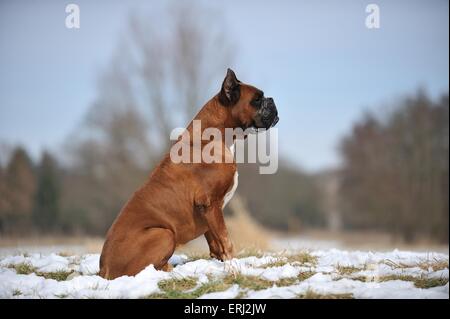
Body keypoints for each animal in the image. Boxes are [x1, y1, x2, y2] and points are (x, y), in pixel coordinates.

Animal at [99, 69, 278, 278]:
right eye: (257, 99)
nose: (271, 100)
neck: (214, 136)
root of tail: (103, 269)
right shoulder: (210, 203)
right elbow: (226, 240)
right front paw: (234, 268)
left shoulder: (208, 211)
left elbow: (215, 243)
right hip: (164, 233)